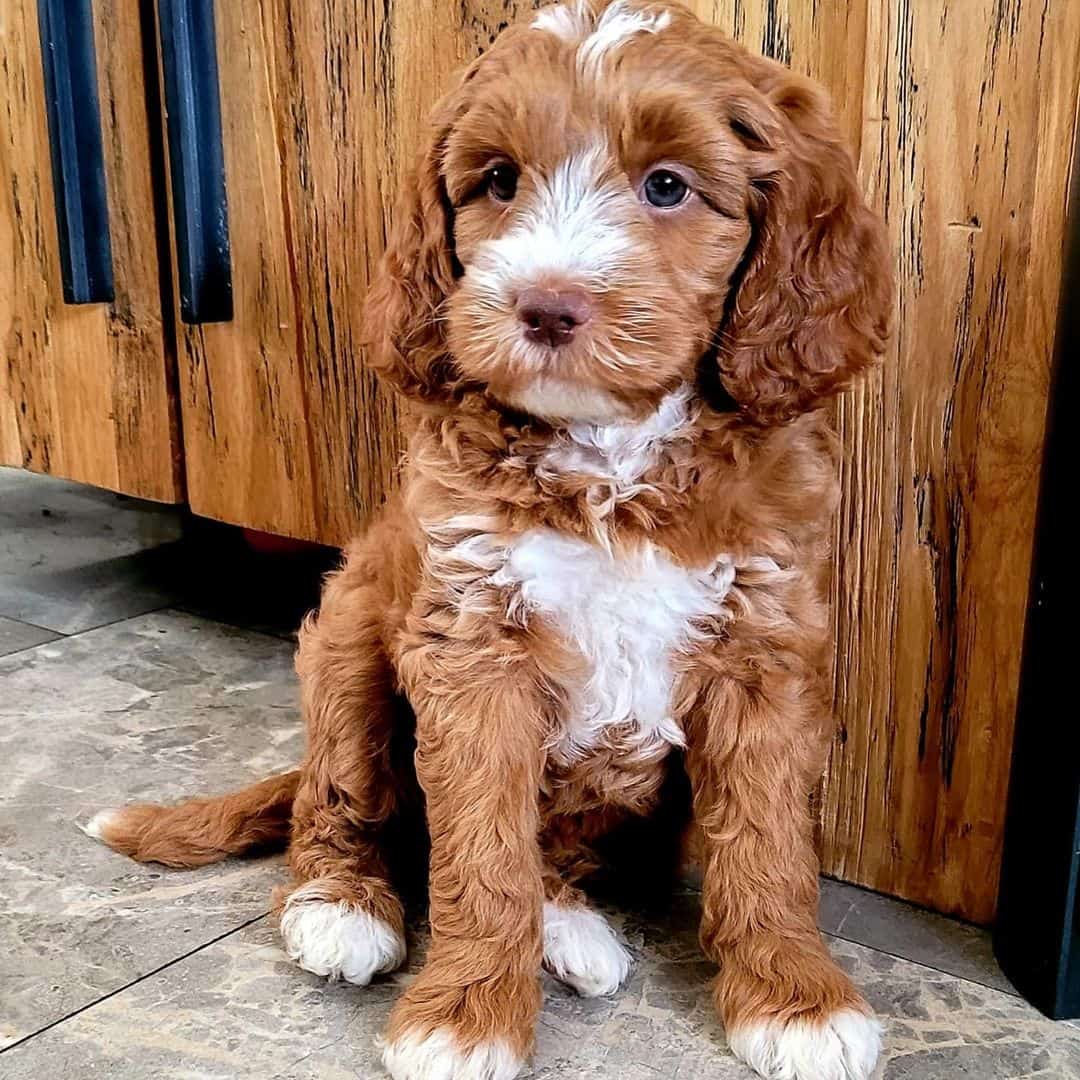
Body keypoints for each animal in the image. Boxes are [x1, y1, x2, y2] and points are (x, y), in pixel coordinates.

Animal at [86, 4, 894, 1075]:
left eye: (667, 186)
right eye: (499, 181)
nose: (545, 305)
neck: (612, 459)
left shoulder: (765, 643)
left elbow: (766, 840)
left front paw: (796, 997)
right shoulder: (472, 644)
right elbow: (480, 849)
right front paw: (466, 1016)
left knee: (555, 849)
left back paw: (572, 928)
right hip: (346, 641)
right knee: (340, 800)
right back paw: (341, 905)